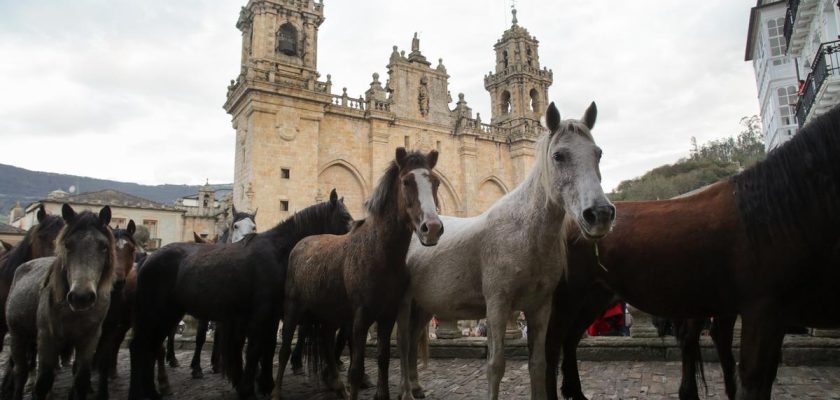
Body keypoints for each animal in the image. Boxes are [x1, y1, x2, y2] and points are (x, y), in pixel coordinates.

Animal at [129, 191, 354, 400]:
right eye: (345, 217)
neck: (278, 252)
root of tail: (146, 260)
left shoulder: (271, 314)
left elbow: (265, 347)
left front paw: (262, 385)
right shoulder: (262, 312)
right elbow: (254, 348)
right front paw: (248, 389)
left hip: (168, 314)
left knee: (148, 346)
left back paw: (151, 391)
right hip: (157, 314)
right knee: (141, 347)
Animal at [276, 148, 446, 400]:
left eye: (435, 182)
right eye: (406, 181)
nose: (432, 228)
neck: (380, 253)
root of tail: (302, 243)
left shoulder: (387, 314)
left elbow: (383, 357)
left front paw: (381, 394)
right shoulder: (360, 316)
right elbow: (356, 366)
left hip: (328, 312)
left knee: (326, 343)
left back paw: (337, 385)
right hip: (293, 309)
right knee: (285, 349)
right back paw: (277, 390)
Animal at [398, 101, 612, 398]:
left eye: (598, 153)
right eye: (558, 156)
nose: (600, 214)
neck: (524, 234)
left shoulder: (540, 307)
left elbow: (538, 364)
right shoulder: (497, 304)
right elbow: (496, 365)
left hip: (424, 305)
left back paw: (416, 387)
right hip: (406, 304)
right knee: (402, 343)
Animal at [548, 104, 840, 400]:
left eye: (599, 154)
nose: (600, 215)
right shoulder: (763, 309)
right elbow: (754, 379)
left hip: (596, 295)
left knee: (570, 339)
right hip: (570, 296)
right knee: (552, 344)